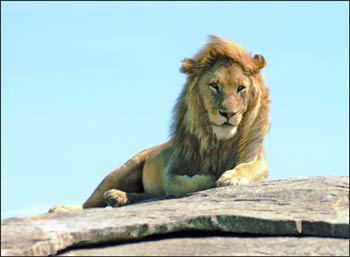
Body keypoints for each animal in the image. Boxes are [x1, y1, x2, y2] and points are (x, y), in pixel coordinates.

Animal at [49, 34, 270, 212]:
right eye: (214, 85)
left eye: (241, 88)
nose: (228, 114)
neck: (218, 140)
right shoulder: (172, 167)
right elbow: (178, 183)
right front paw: (211, 177)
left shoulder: (258, 161)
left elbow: (246, 168)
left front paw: (230, 177)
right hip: (121, 170)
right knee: (90, 203)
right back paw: (66, 208)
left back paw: (118, 197)